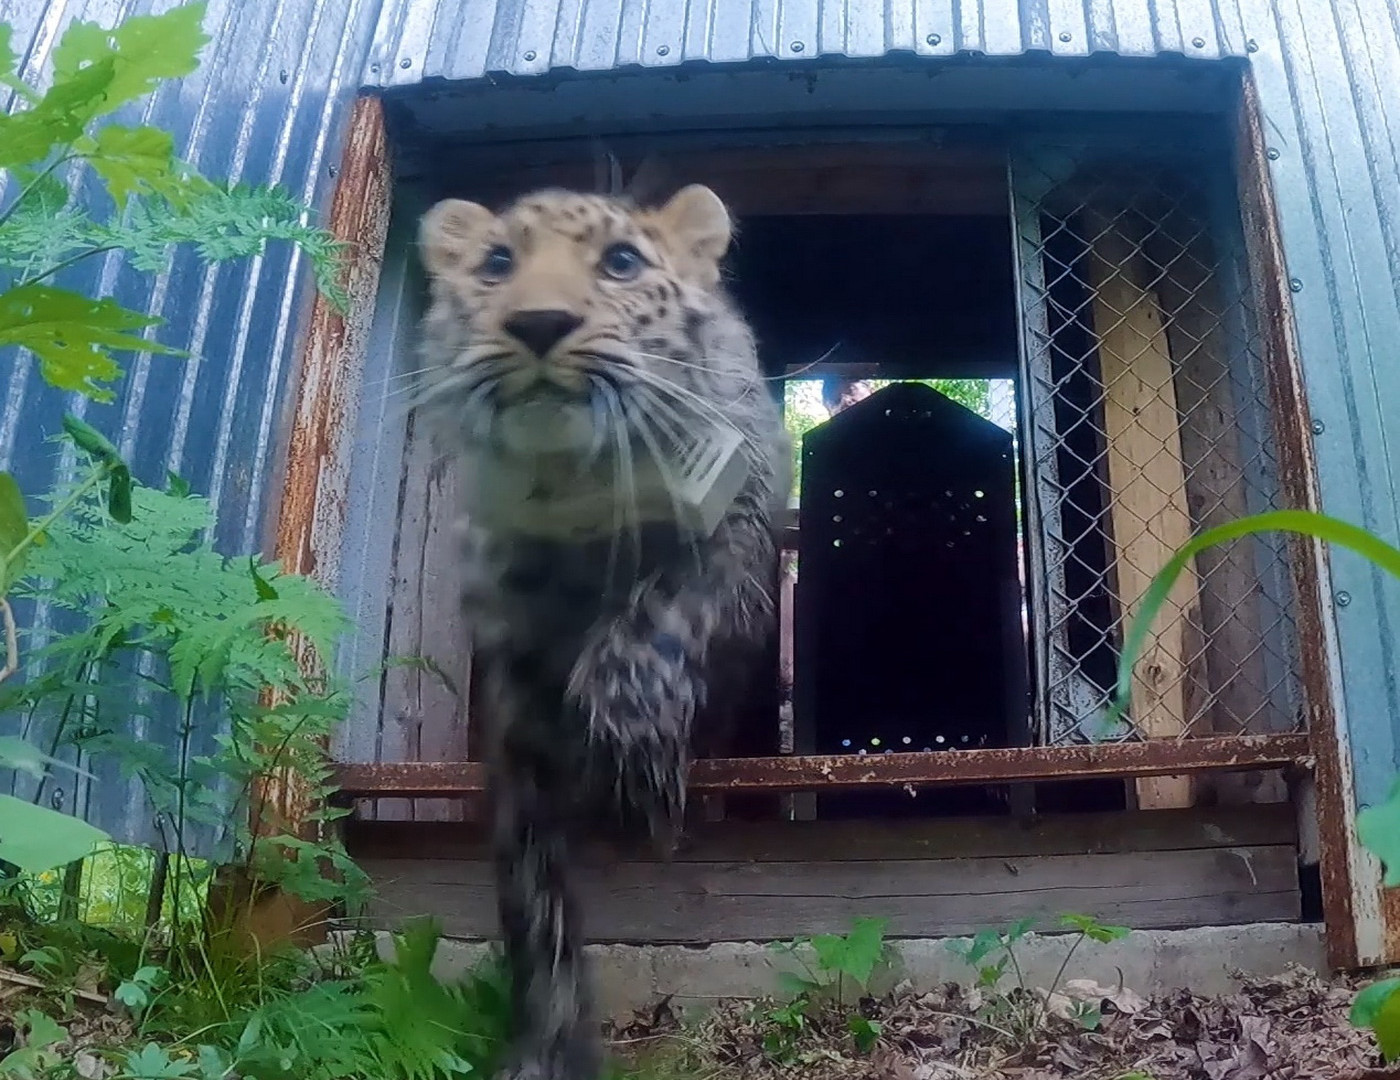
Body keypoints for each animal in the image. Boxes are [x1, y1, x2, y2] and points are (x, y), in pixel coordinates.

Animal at [411, 186, 789, 1080]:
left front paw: (634, 758)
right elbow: (534, 897)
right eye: (496, 263)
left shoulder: (736, 534)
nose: (539, 323)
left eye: (622, 261)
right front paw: (545, 1048)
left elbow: (657, 615)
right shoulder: (512, 696)